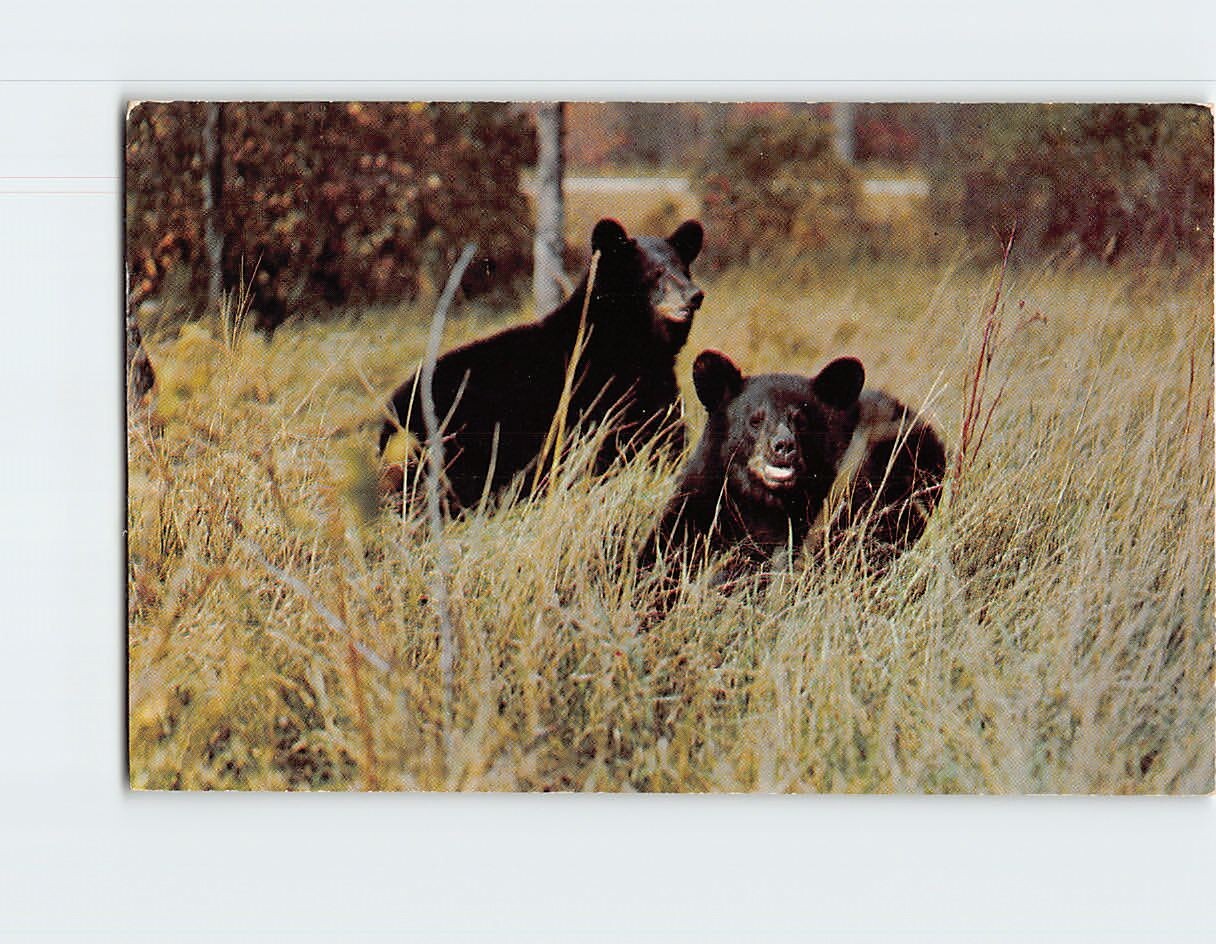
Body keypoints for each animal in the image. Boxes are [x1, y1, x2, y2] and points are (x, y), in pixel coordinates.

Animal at [379, 218, 705, 510]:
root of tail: (389, 416)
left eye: (683, 267)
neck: (633, 345)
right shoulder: (594, 396)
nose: (695, 295)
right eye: (656, 272)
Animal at [639, 348, 946, 591]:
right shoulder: (704, 497)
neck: (765, 501)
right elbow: (667, 547)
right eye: (754, 420)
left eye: (801, 419)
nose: (783, 446)